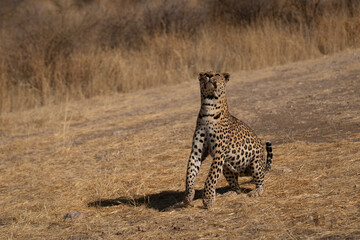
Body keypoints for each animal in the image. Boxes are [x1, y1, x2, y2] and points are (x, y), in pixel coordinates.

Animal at [184, 71, 274, 208]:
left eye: (217, 74)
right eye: (205, 73)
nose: (209, 75)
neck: (208, 107)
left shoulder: (219, 153)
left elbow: (210, 177)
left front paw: (208, 199)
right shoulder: (197, 152)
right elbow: (190, 172)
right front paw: (188, 196)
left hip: (255, 164)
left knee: (261, 182)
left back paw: (256, 191)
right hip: (227, 167)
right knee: (236, 187)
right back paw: (230, 193)